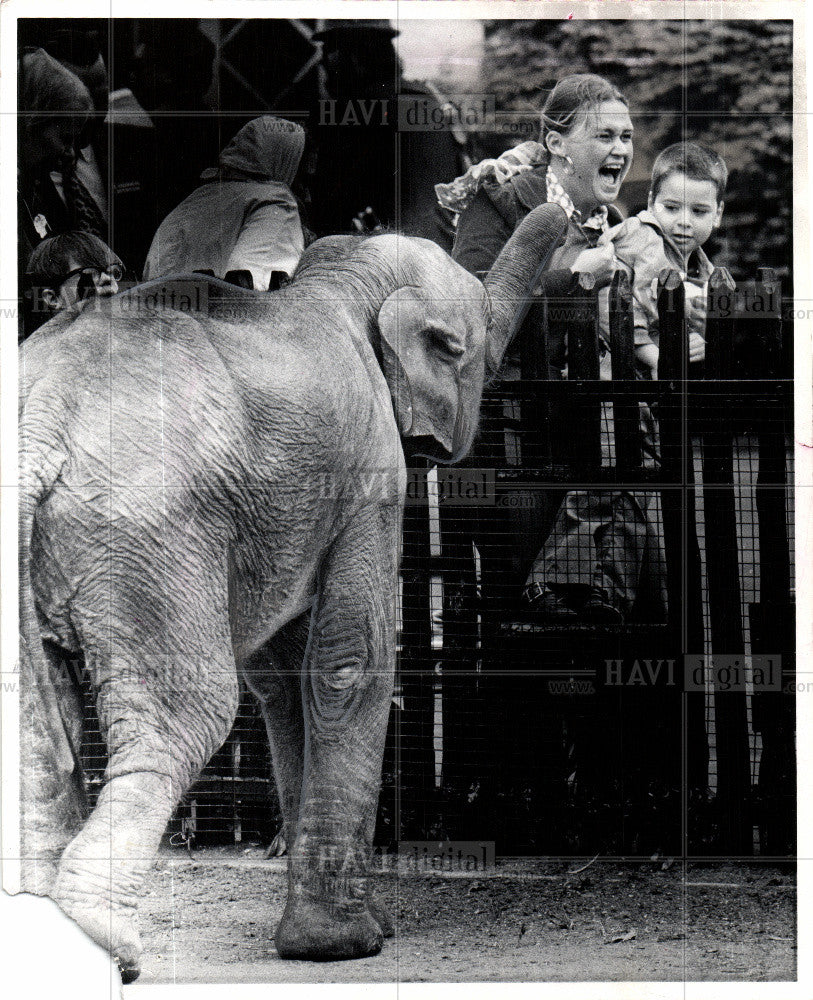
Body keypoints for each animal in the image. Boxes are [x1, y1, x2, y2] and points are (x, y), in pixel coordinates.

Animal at [17, 203, 564, 976]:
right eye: (472, 350)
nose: (580, 209)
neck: (339, 282)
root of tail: (40, 417)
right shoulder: (371, 476)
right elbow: (349, 661)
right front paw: (341, 946)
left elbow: (282, 677)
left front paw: (354, 927)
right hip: (146, 533)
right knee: (187, 714)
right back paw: (107, 944)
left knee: (37, 731)